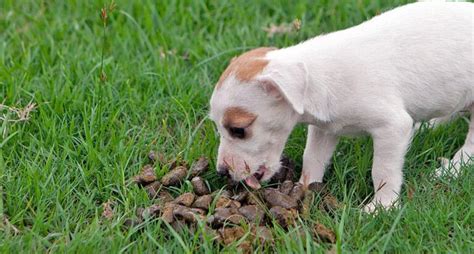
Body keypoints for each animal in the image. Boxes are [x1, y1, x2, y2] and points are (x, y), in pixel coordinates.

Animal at [209, 2, 472, 211]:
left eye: (238, 130)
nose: (221, 172)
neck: (319, 76)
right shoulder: (324, 130)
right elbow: (312, 158)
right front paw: (303, 188)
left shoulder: (392, 127)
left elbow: (382, 171)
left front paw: (382, 207)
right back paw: (430, 126)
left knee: (470, 146)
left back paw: (453, 168)